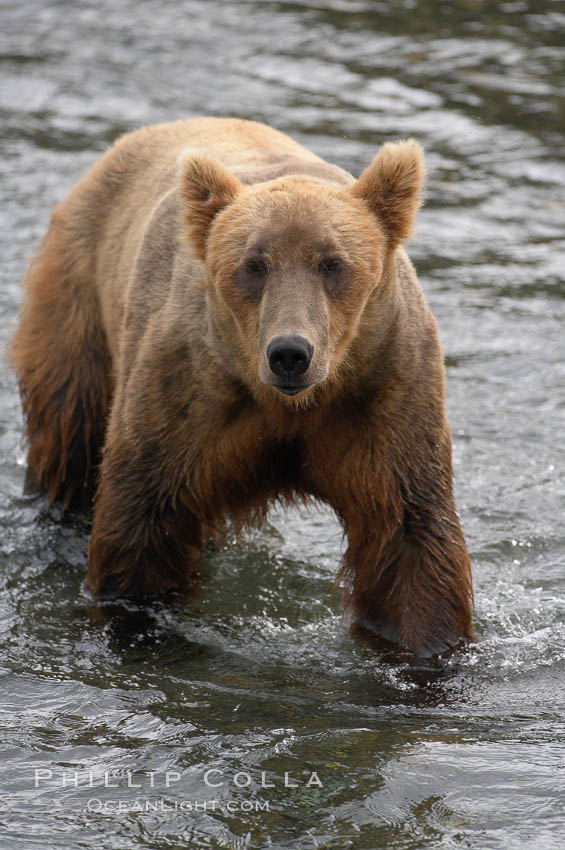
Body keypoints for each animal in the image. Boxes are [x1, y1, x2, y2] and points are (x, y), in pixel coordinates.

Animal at [11, 114, 474, 656]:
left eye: (333, 263)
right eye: (254, 265)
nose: (290, 353)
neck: (291, 405)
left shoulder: (382, 389)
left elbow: (409, 535)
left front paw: (428, 647)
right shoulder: (188, 393)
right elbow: (142, 521)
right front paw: (135, 619)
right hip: (79, 304)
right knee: (71, 439)